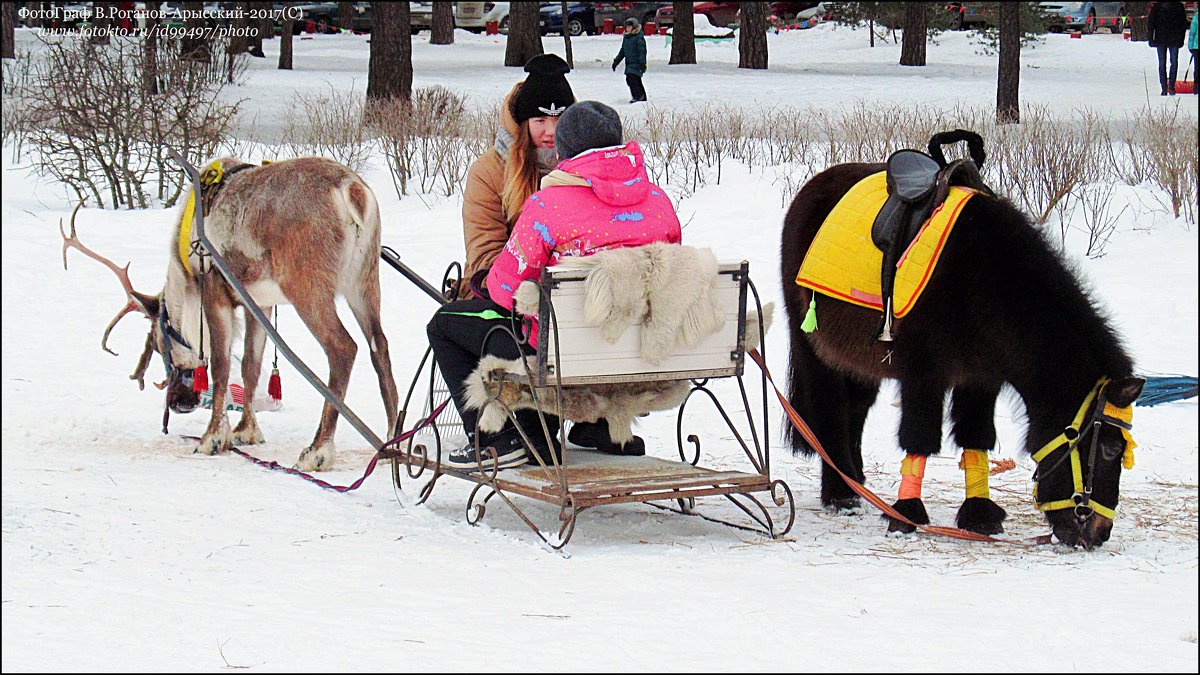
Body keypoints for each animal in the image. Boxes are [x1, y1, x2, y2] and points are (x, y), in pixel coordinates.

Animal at [777, 138, 1142, 547]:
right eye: (1110, 449)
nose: (1099, 532)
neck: (984, 279)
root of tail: (815, 187)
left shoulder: (981, 377)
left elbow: (976, 436)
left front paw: (978, 514)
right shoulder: (923, 373)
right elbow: (919, 437)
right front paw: (907, 515)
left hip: (858, 358)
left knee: (855, 411)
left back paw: (855, 482)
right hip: (813, 348)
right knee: (830, 412)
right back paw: (839, 494)